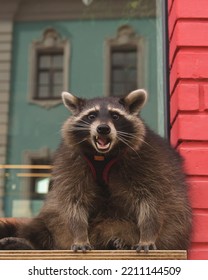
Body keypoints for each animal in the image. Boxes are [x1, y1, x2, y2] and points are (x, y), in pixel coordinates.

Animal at [0, 89, 192, 252]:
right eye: (91, 115)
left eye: (115, 116)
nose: (103, 128)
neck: (102, 155)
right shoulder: (72, 162)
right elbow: (73, 201)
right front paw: (79, 235)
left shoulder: (147, 161)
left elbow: (151, 201)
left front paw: (147, 235)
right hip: (52, 218)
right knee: (43, 223)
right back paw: (28, 242)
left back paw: (121, 242)